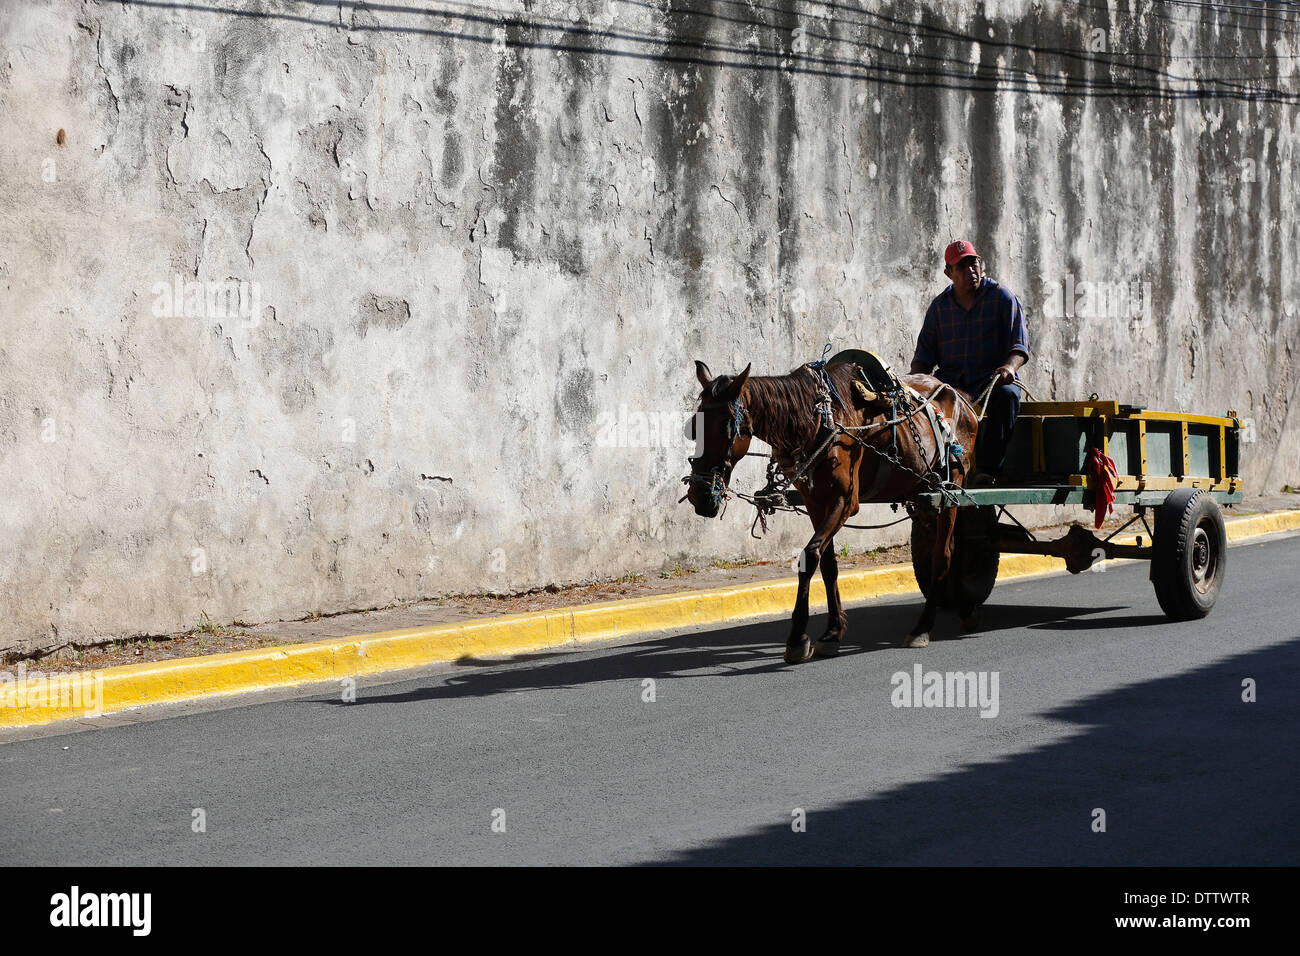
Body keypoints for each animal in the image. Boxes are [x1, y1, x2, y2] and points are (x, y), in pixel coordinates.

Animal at [686, 356, 977, 660]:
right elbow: (827, 563)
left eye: (725, 427)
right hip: (925, 494)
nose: (699, 495)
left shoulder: (845, 500)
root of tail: (962, 399)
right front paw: (832, 632)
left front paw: (797, 637)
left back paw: (923, 627)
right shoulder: (815, 500)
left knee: (942, 555)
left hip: (951, 486)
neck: (819, 420)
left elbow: (810, 555)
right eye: (693, 426)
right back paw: (965, 608)